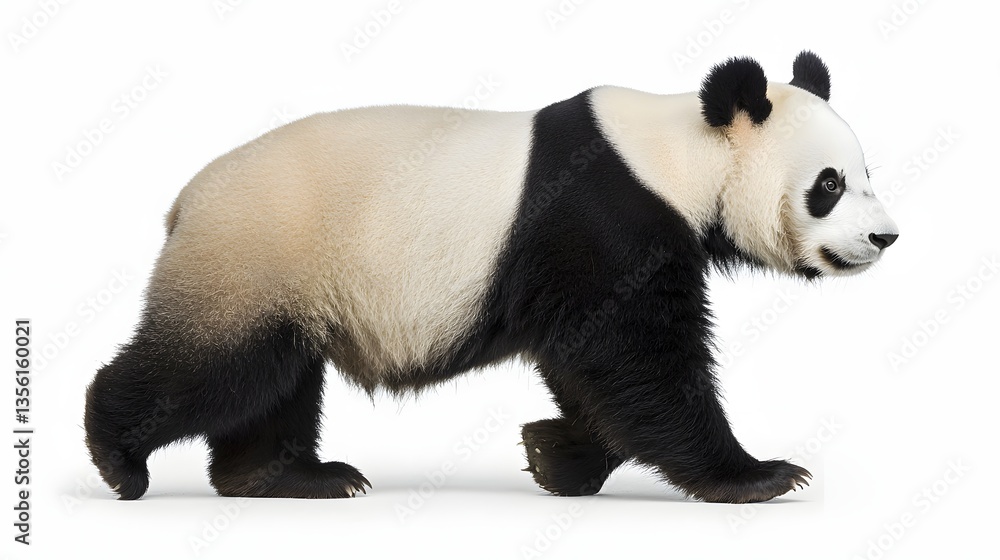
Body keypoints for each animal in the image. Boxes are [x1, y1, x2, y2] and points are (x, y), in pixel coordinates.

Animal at [85, 51, 898, 504]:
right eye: (828, 185)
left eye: (866, 175)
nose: (884, 236)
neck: (680, 154)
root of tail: (185, 202)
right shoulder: (606, 217)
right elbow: (637, 363)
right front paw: (759, 476)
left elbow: (591, 368)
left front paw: (555, 455)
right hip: (260, 252)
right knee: (215, 367)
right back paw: (119, 457)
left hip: (284, 278)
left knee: (274, 379)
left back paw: (288, 478)